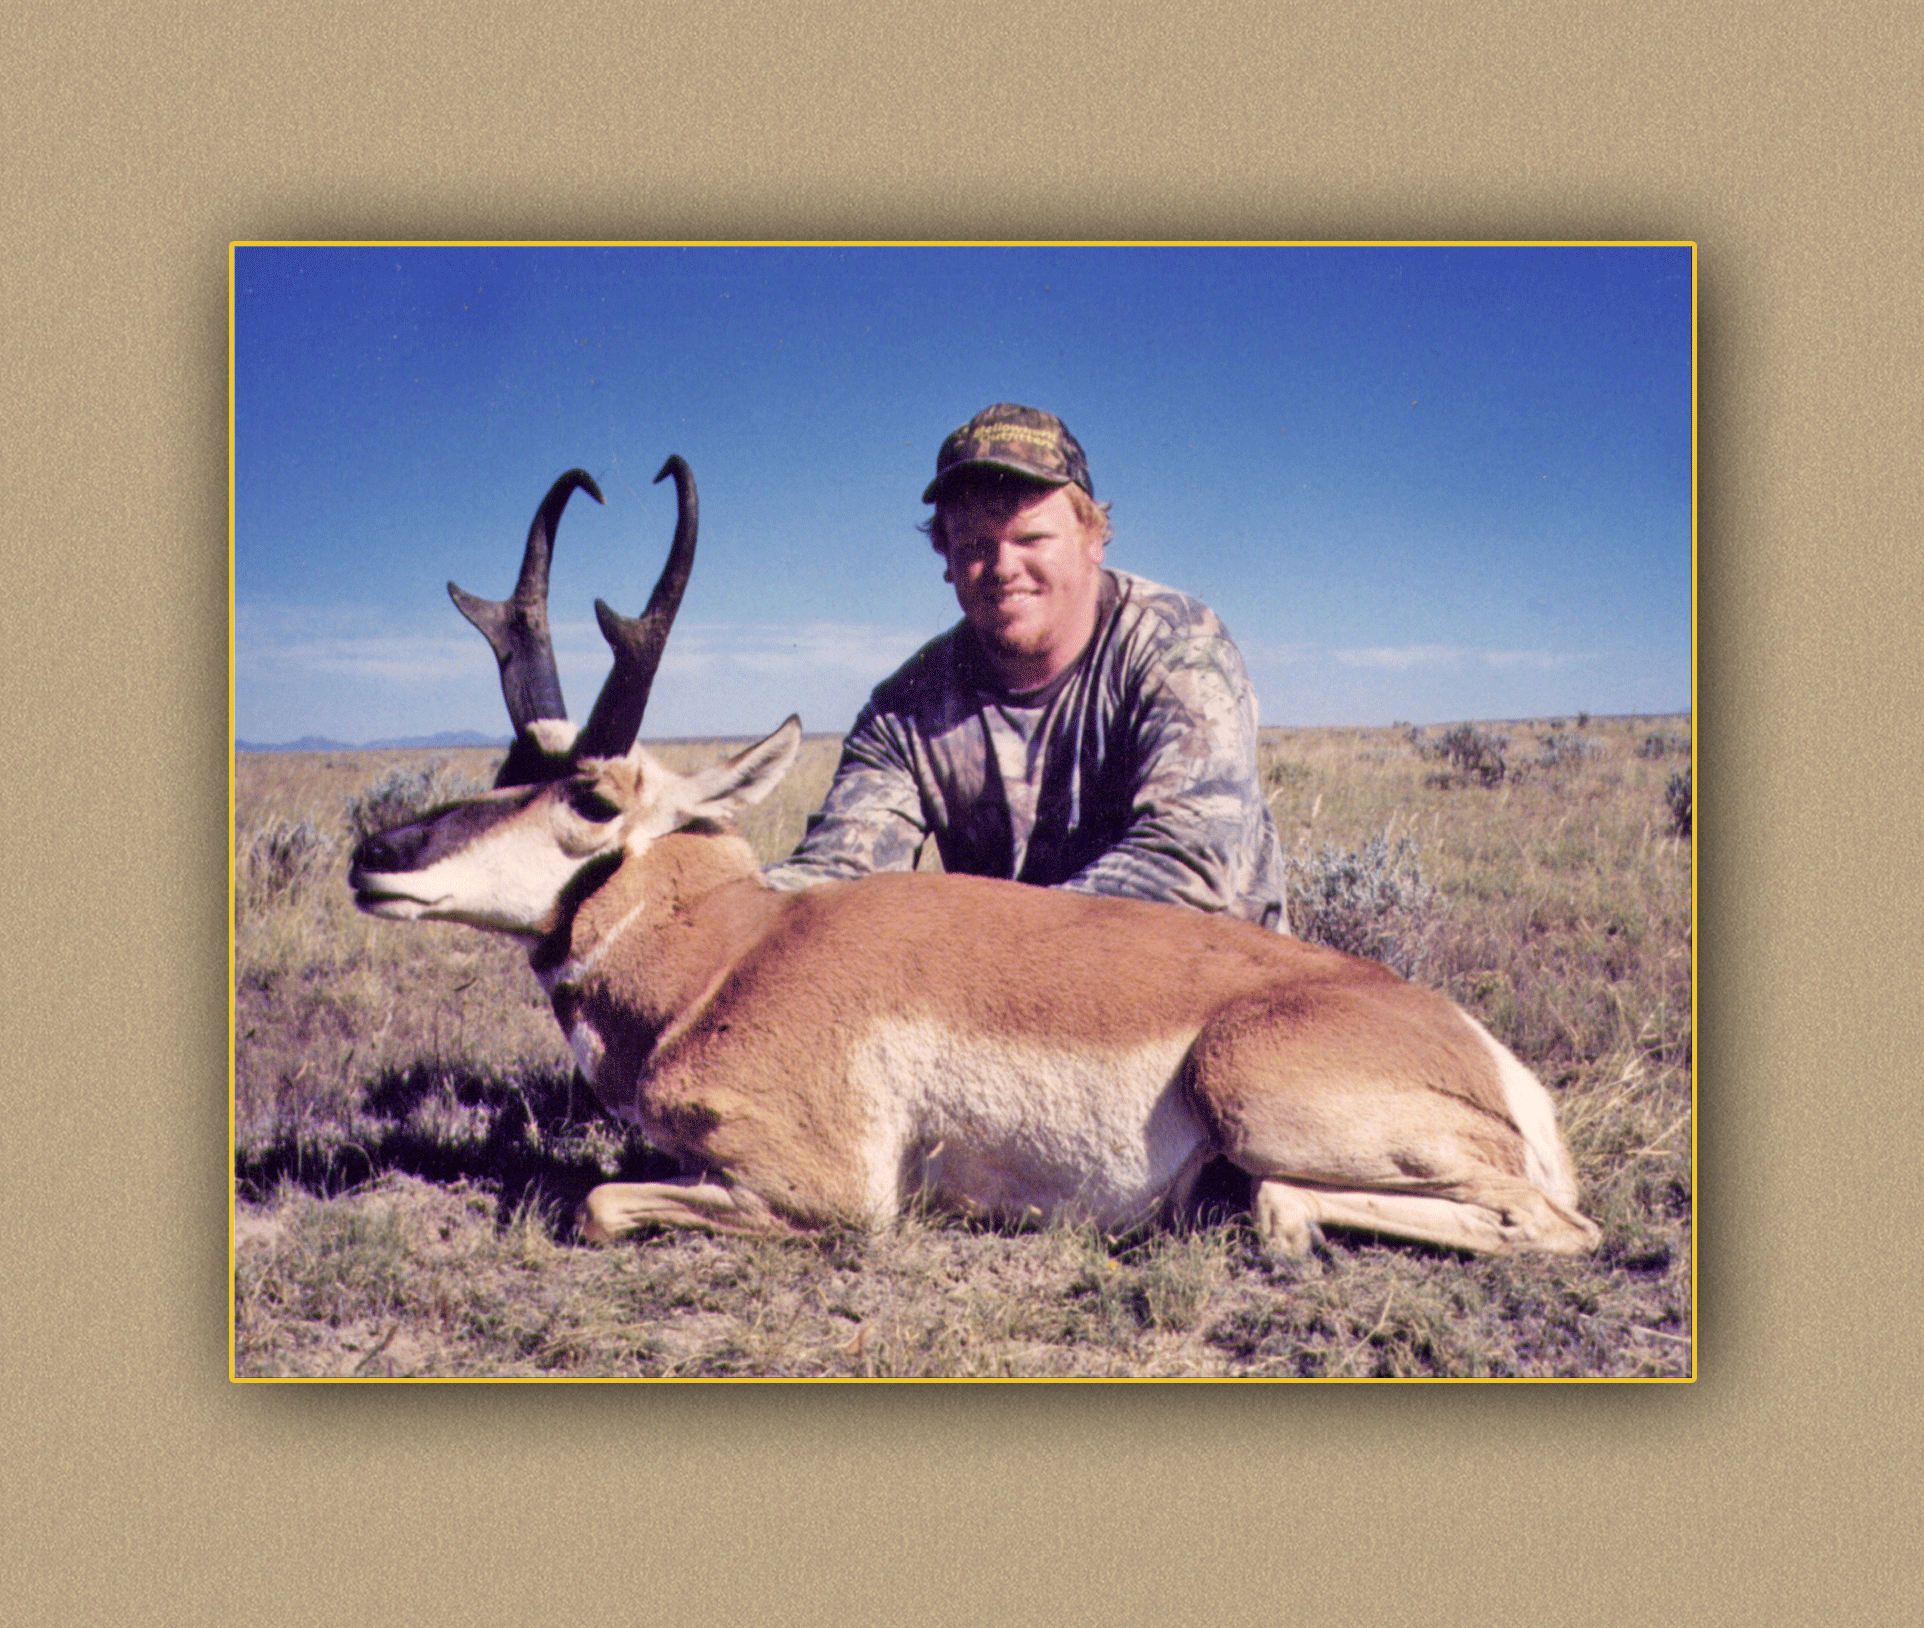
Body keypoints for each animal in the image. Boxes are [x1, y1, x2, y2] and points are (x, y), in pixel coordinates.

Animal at [348, 460, 1601, 1259]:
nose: (376, 851)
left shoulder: (830, 1189)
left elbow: (599, 1203)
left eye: (592, 796)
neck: (730, 955)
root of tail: (1481, 1049)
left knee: (1546, 1225)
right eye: (508, 762)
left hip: (1252, 1086)